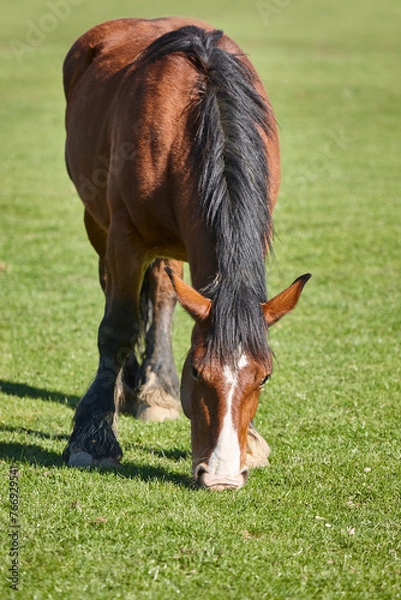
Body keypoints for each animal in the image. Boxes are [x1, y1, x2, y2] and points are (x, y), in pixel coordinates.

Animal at [62, 16, 310, 490]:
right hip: (96, 221)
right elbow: (117, 328)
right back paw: (124, 389)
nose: (223, 477)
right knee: (113, 288)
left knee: (162, 291)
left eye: (265, 377)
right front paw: (93, 436)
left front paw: (250, 440)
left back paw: (154, 389)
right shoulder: (125, 235)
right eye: (196, 371)